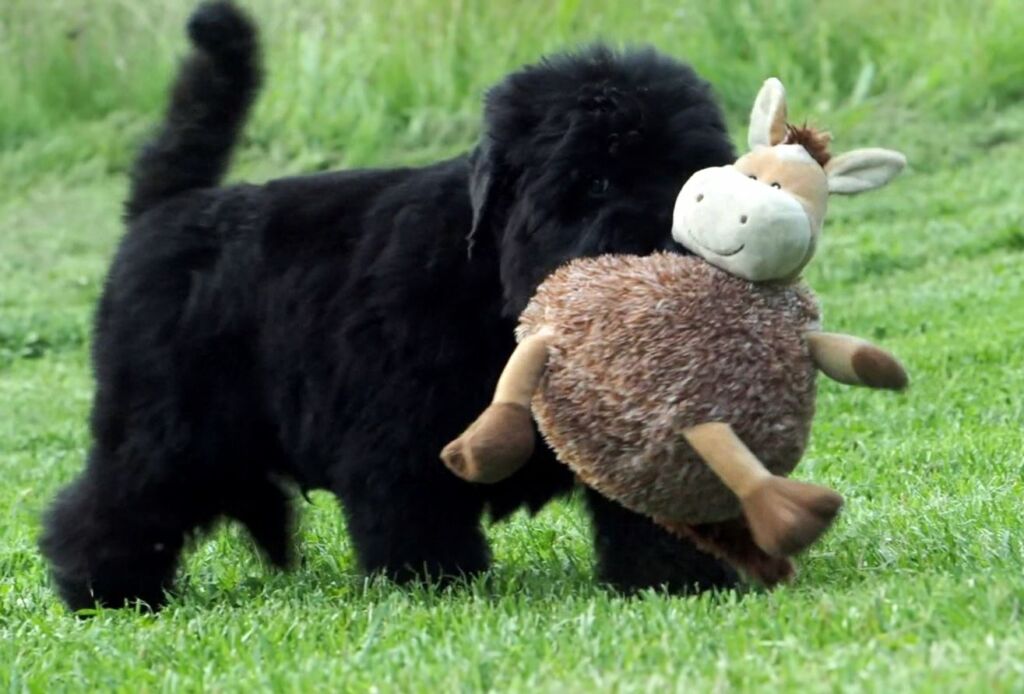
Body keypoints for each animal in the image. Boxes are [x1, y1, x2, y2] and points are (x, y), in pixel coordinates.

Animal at [41, 1, 737, 610]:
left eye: (691, 178)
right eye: (595, 180)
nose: (666, 239)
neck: (488, 279)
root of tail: (161, 208)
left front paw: (677, 579)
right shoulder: (399, 433)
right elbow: (414, 510)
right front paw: (434, 582)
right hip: (164, 428)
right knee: (114, 502)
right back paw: (105, 589)